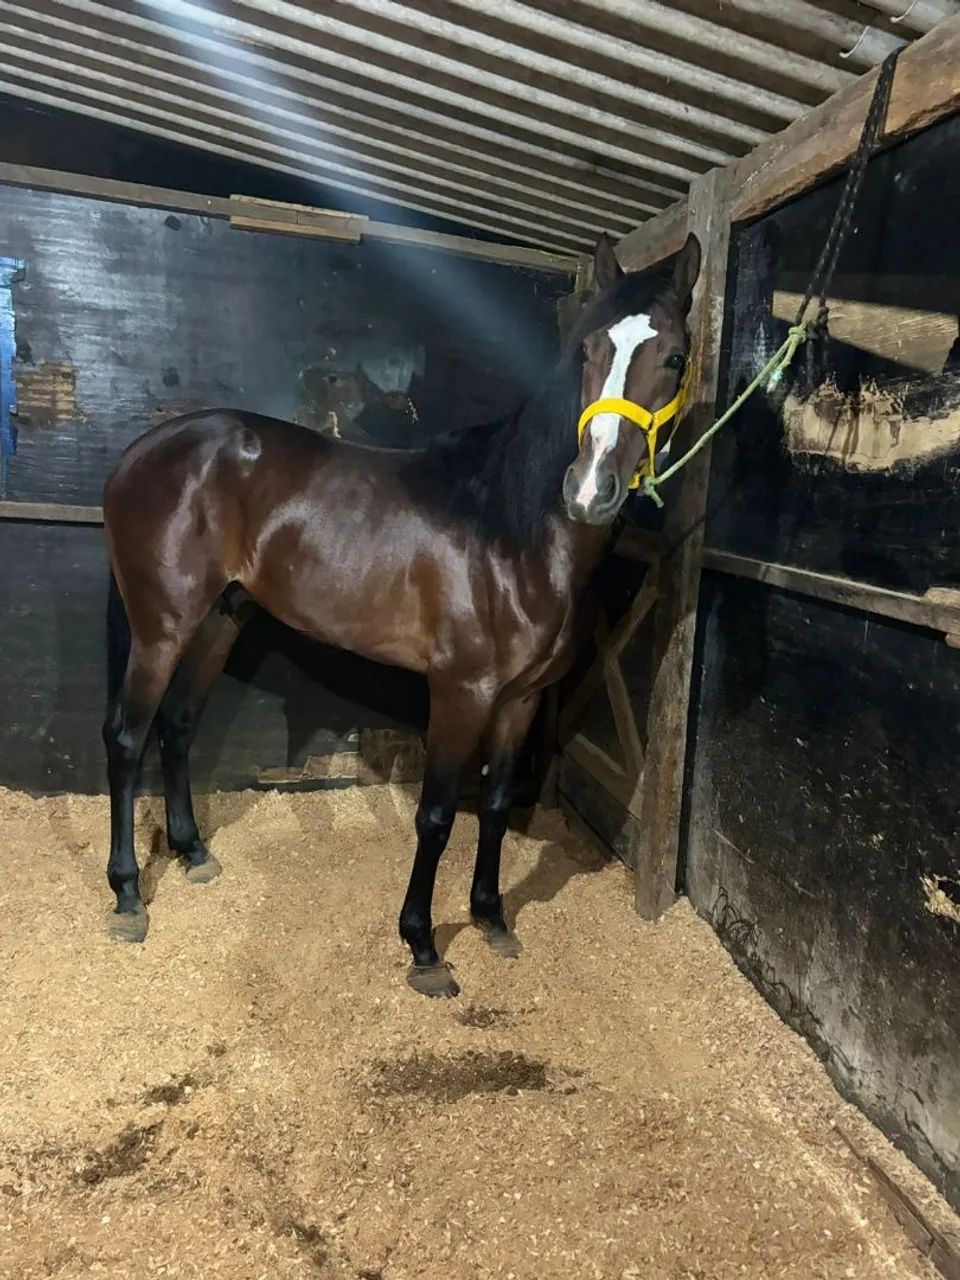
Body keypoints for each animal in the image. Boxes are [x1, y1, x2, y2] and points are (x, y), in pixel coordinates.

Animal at [101, 231, 701, 998]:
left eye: (675, 358)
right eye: (588, 351)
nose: (590, 489)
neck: (513, 531)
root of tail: (139, 456)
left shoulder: (522, 699)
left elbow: (497, 803)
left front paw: (491, 918)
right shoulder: (460, 693)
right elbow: (438, 815)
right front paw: (422, 946)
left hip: (221, 619)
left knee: (177, 726)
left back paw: (194, 853)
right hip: (162, 627)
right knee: (126, 738)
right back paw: (127, 896)